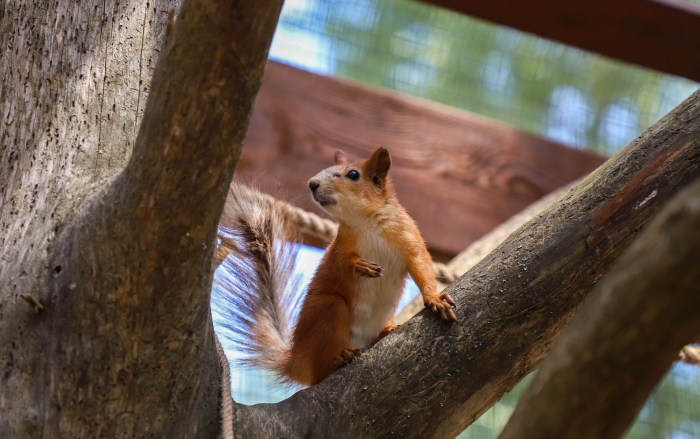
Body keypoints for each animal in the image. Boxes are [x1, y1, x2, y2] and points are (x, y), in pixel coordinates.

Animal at [219, 146, 460, 386]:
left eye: (353, 174)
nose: (312, 183)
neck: (365, 220)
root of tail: (298, 362)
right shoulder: (340, 246)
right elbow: (339, 265)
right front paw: (359, 266)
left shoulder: (408, 238)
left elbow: (422, 266)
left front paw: (435, 299)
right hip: (332, 309)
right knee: (325, 364)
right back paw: (342, 355)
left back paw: (387, 330)